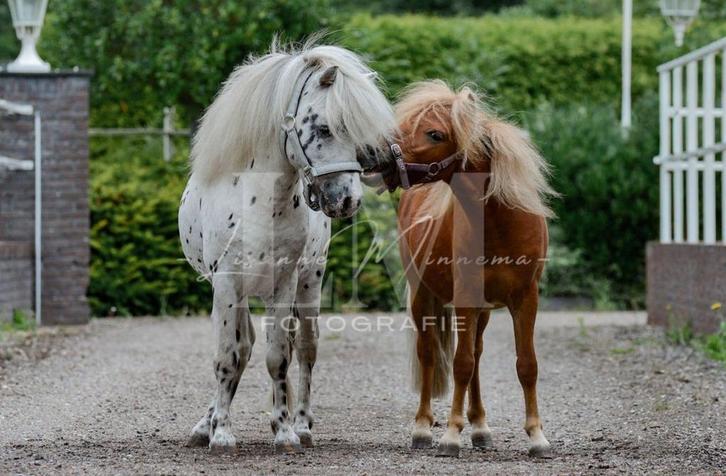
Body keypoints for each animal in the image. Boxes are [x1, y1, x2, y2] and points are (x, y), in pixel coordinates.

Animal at [178, 41, 395, 453]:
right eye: (324, 128)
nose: (348, 201)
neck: (261, 203)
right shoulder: (227, 283)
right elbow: (228, 355)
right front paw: (221, 433)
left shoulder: (284, 282)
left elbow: (278, 355)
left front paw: (284, 432)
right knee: (242, 347)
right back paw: (205, 424)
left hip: (309, 282)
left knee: (306, 348)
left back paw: (303, 424)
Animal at [384, 81, 557, 457]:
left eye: (434, 133)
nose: (375, 154)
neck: (500, 223)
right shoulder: (463, 298)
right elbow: (460, 364)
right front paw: (450, 435)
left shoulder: (526, 299)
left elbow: (527, 364)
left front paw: (537, 436)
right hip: (422, 297)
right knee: (429, 353)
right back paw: (422, 429)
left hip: (484, 310)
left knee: (476, 355)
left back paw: (479, 427)